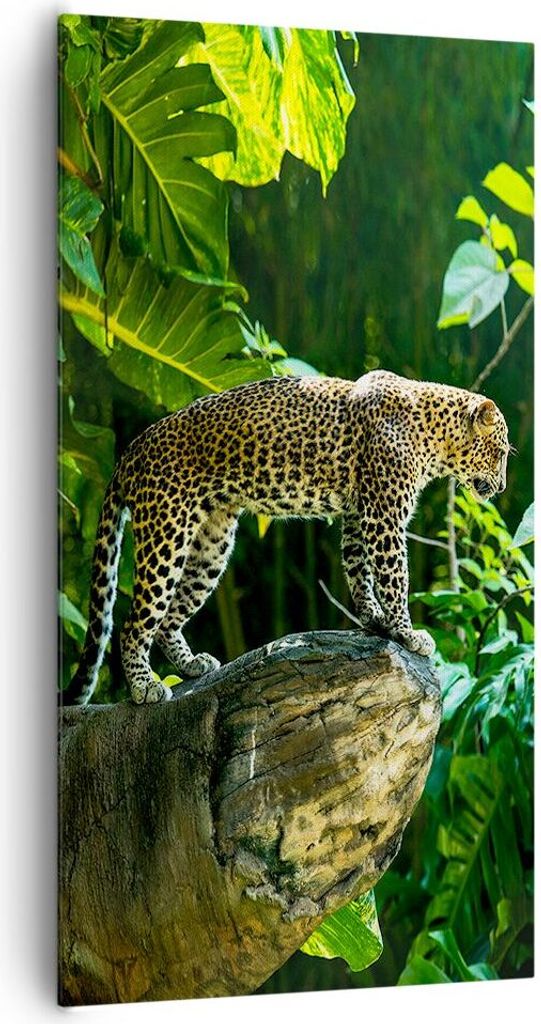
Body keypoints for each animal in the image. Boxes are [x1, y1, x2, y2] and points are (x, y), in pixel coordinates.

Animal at [64, 369, 510, 706]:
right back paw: (144, 686)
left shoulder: (357, 514)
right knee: (133, 623)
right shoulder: (384, 517)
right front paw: (408, 633)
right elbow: (394, 576)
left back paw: (191, 666)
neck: (434, 433)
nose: (503, 486)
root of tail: (130, 450)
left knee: (169, 616)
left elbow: (358, 570)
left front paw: (374, 620)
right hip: (166, 533)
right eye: (502, 452)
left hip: (212, 543)